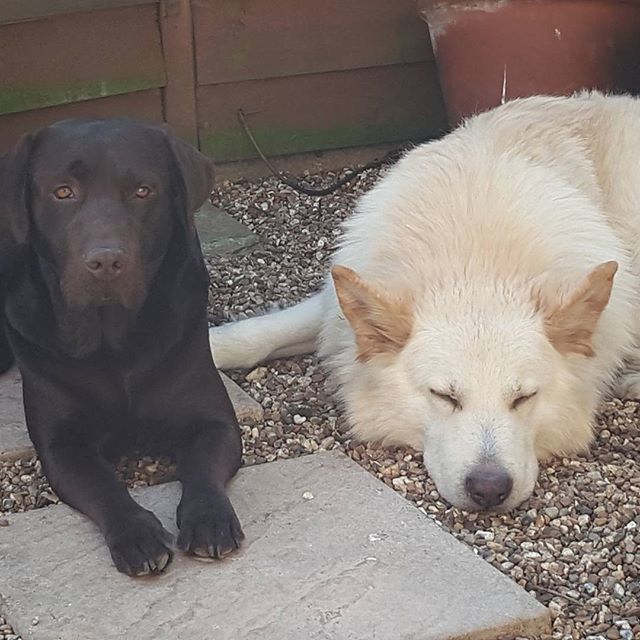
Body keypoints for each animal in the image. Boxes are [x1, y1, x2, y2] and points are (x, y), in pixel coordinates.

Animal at [0, 120, 244, 576]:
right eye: (63, 191)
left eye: (143, 191)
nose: (105, 261)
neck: (112, 343)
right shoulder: (62, 445)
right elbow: (103, 485)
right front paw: (136, 533)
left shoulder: (215, 421)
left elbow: (202, 467)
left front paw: (210, 518)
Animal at [210, 92, 640, 510]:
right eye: (445, 396)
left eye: (523, 398)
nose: (489, 490)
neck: (475, 261)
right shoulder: (335, 312)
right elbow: (255, 336)